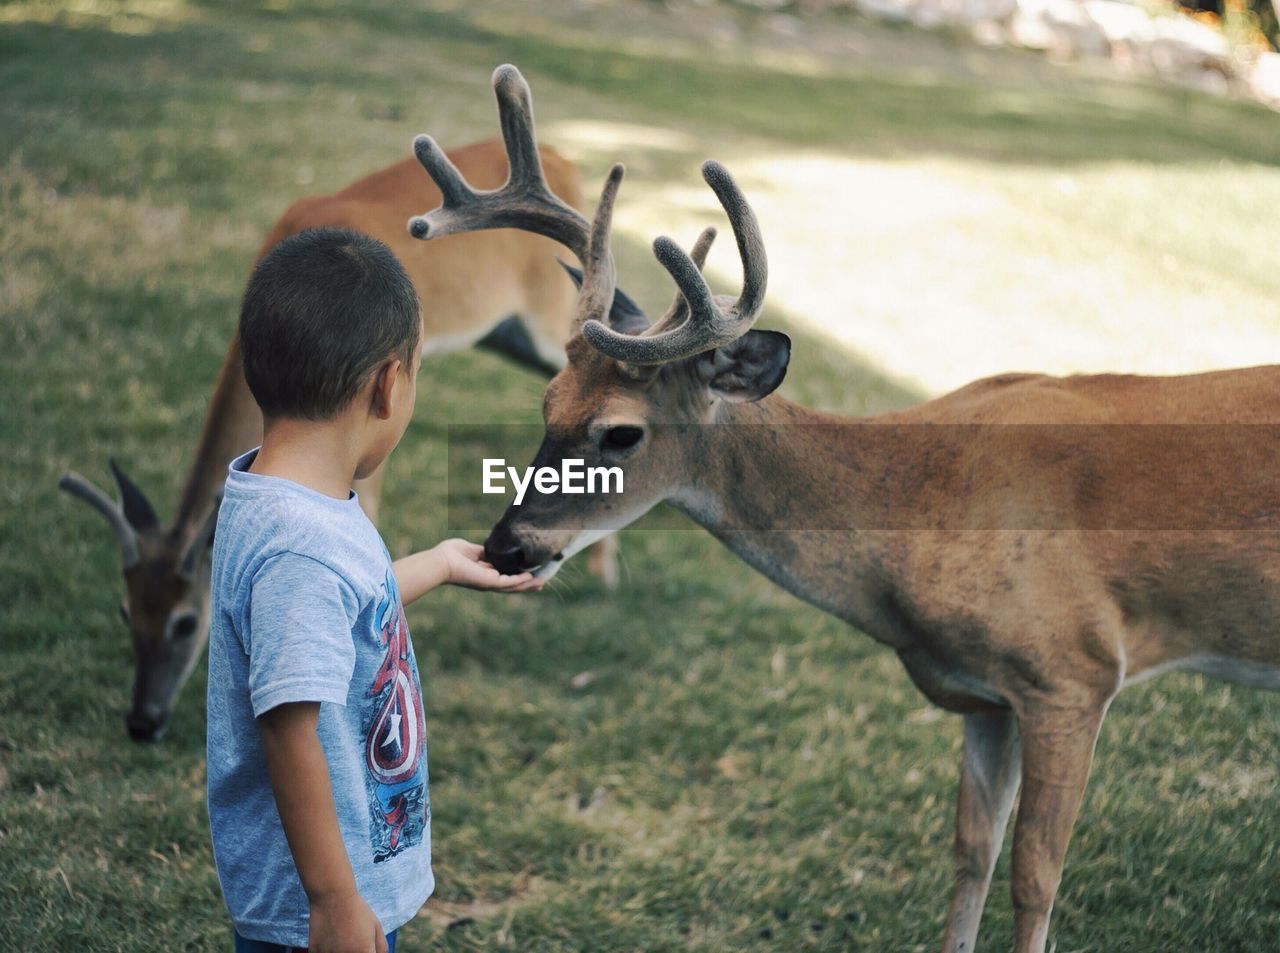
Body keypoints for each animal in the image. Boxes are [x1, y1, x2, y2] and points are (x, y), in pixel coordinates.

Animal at [62, 133, 632, 741]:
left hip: (548, 312)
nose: (141, 721)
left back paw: (606, 567)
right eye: (126, 610)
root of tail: (564, 161)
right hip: (506, 333)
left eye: (185, 621)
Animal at [404, 66, 1280, 951]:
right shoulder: (986, 693)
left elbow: (1036, 877)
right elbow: (972, 852)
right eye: (547, 400)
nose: (507, 546)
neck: (919, 515)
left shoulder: (1075, 668)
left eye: (620, 431)